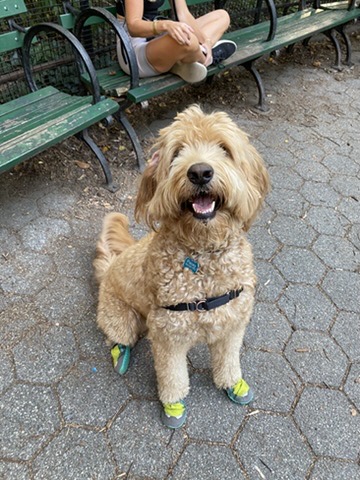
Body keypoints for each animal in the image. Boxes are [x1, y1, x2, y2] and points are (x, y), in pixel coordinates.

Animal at [94, 104, 268, 428]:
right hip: (120, 318)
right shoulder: (168, 337)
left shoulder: (232, 324)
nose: (200, 172)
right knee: (120, 337)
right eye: (177, 153)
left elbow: (228, 359)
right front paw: (172, 405)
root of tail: (108, 269)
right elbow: (172, 376)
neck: (203, 253)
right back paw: (121, 354)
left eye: (224, 149)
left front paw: (232, 384)